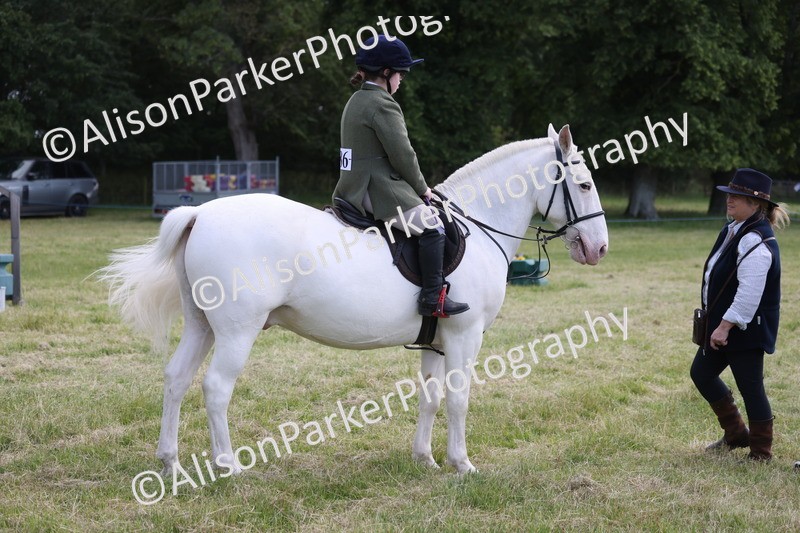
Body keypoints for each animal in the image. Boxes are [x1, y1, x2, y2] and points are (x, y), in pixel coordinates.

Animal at [99, 124, 608, 476]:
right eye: (583, 185)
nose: (599, 248)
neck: (477, 227)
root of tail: (201, 213)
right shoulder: (466, 336)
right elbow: (459, 399)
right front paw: (462, 464)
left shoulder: (437, 339)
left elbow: (430, 398)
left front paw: (424, 459)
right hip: (236, 331)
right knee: (216, 388)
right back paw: (229, 466)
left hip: (201, 325)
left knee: (176, 379)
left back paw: (169, 461)